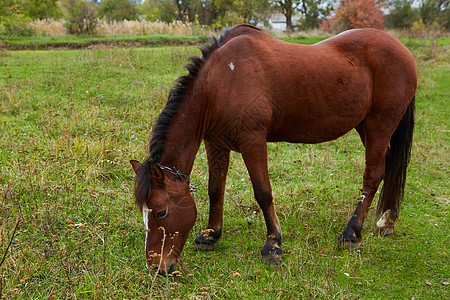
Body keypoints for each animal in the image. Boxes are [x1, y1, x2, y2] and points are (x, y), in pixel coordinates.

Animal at [128, 24, 416, 276]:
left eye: (161, 212)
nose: (156, 267)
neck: (221, 81)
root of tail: (402, 49)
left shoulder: (252, 141)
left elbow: (263, 192)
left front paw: (273, 245)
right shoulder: (216, 143)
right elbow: (215, 189)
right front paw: (211, 235)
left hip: (379, 125)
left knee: (373, 174)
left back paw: (351, 233)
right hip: (364, 126)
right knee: (388, 168)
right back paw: (387, 221)